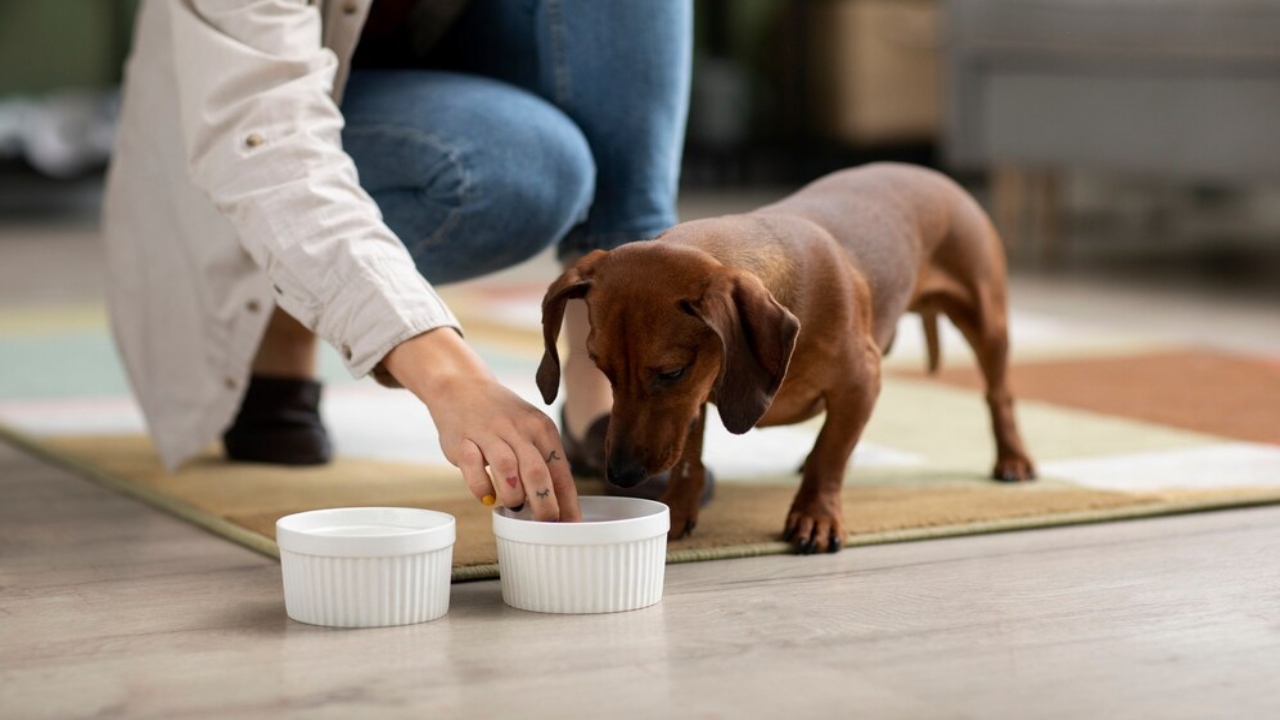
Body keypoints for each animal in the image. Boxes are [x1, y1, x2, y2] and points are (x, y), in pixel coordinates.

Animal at [535, 162, 1034, 550]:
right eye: (601, 368)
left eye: (672, 372)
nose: (621, 475)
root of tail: (931, 173)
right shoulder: (698, 402)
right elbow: (690, 460)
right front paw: (677, 509)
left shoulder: (861, 380)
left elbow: (827, 457)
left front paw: (816, 516)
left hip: (986, 320)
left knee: (999, 394)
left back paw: (1013, 459)